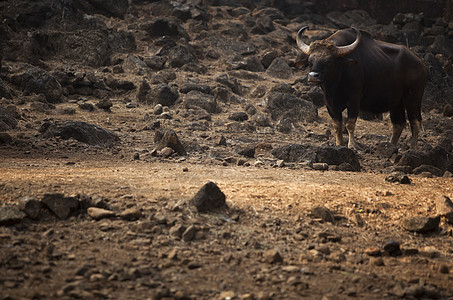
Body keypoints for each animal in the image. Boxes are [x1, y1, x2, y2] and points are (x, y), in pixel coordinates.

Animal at [294, 27, 426, 149]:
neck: (336, 82)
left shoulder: (354, 100)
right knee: (399, 123)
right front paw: (339, 144)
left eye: (329, 61)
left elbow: (350, 124)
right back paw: (391, 146)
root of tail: (420, 62)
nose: (313, 76)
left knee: (415, 122)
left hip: (413, 98)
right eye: (310, 61)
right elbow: (337, 125)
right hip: (397, 103)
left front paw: (352, 145)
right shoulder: (330, 103)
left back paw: (413, 147)